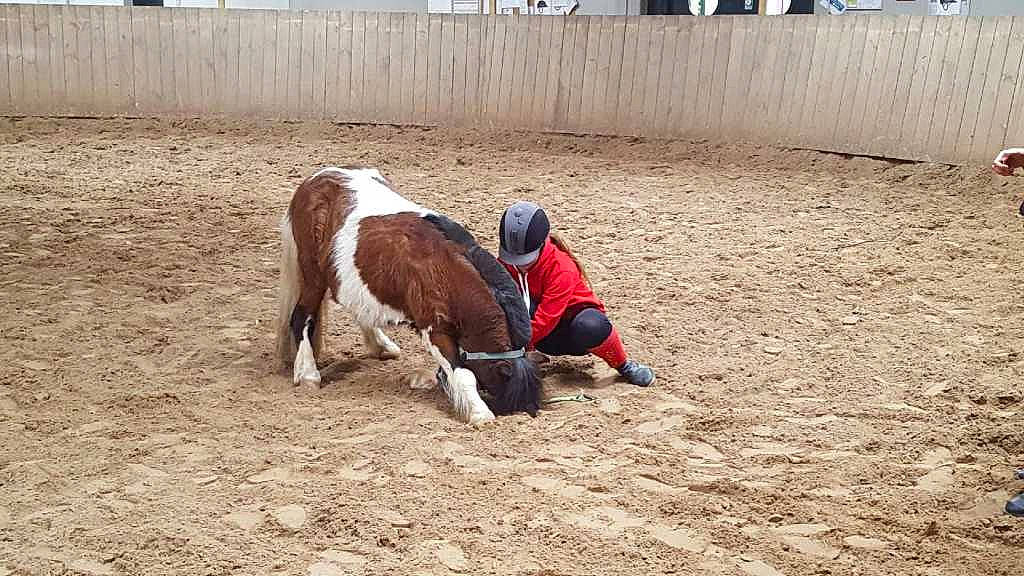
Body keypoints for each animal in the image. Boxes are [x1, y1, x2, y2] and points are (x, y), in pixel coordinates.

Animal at [274, 166, 541, 424]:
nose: (527, 412)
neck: (444, 269)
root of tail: (311, 182)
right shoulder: (435, 330)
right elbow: (464, 374)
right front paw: (479, 413)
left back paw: (381, 346)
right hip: (313, 276)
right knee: (301, 317)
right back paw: (308, 373)